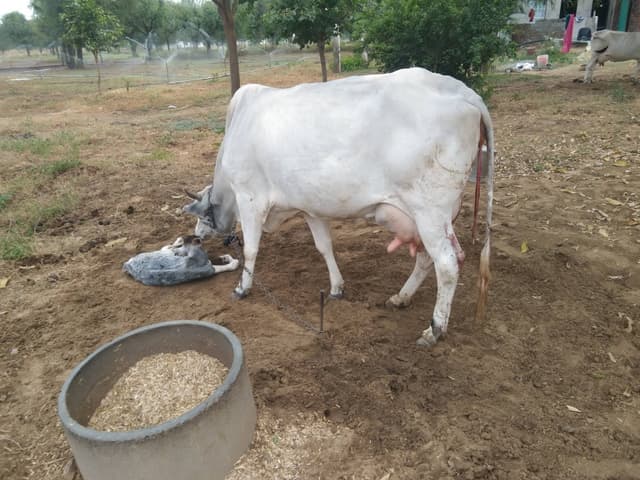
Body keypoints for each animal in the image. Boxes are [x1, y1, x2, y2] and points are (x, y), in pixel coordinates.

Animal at [183, 67, 494, 347]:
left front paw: (242, 287)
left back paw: (435, 329)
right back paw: (401, 297)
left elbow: (250, 249)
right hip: (434, 216)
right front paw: (336, 288)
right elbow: (324, 247)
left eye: (202, 218)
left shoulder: (250, 197)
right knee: (430, 258)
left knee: (447, 263)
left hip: (429, 211)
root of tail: (465, 92)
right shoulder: (310, 208)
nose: (197, 235)